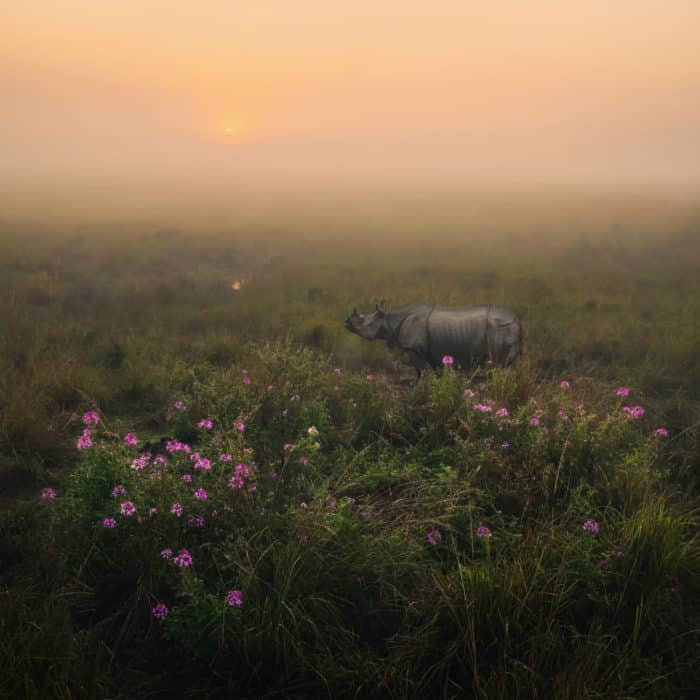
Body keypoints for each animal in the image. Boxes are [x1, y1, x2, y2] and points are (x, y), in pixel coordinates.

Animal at [348, 300, 524, 378]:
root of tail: (517, 320)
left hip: (500, 327)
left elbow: (420, 371)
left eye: (362, 321)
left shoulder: (413, 349)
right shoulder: (428, 352)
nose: (346, 323)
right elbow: (431, 371)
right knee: (503, 366)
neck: (390, 320)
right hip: (505, 327)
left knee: (499, 365)